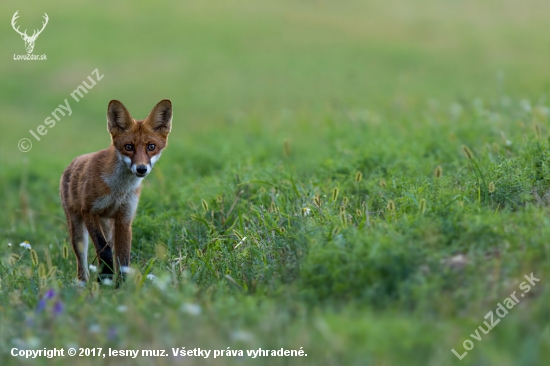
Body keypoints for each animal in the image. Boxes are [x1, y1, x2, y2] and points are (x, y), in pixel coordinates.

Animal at [60, 98, 172, 284]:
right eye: (129, 147)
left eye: (151, 146)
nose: (141, 169)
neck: (118, 190)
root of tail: (72, 162)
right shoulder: (89, 212)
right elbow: (104, 251)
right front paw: (106, 277)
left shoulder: (124, 219)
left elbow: (123, 258)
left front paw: (120, 285)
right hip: (78, 231)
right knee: (82, 263)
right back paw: (84, 284)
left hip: (108, 227)